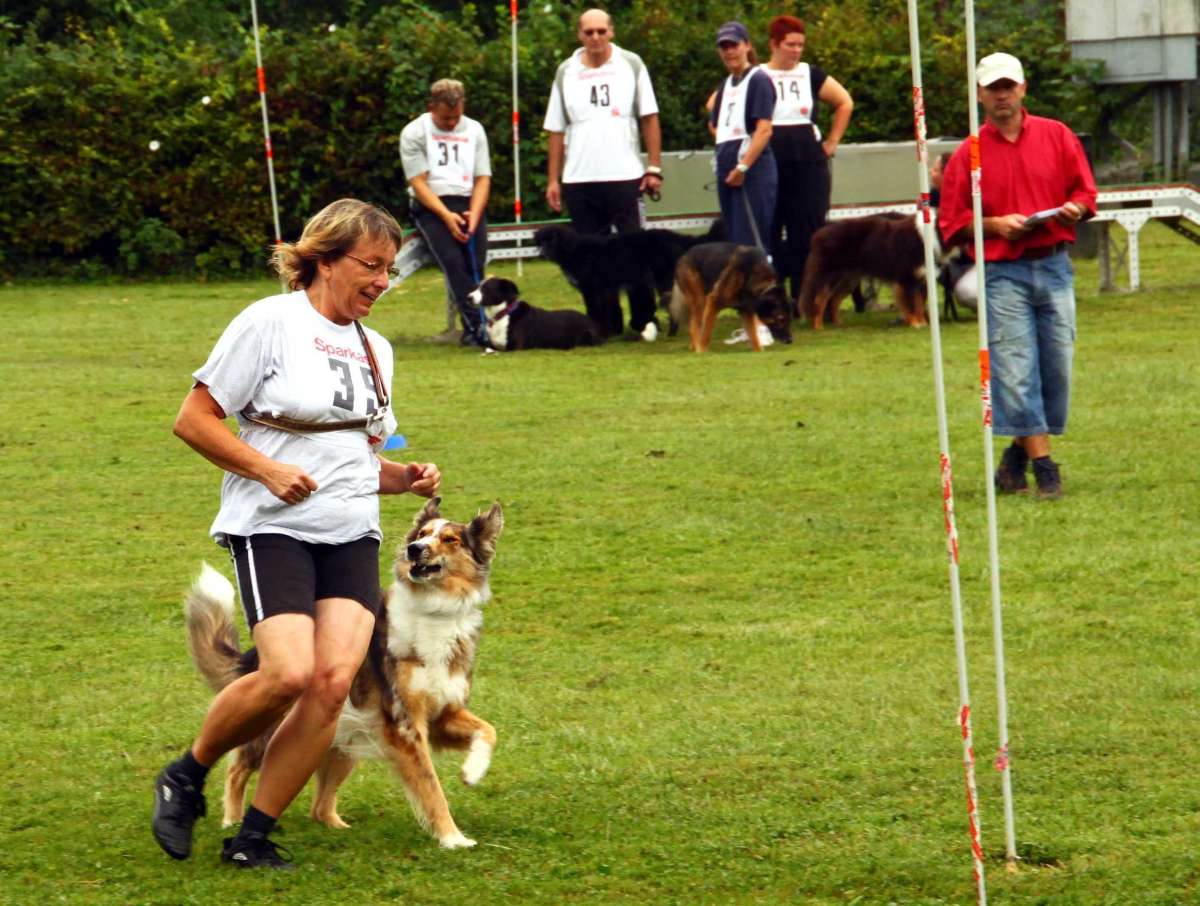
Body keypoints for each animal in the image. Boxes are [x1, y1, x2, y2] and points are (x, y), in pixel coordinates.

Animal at [184, 499, 504, 844]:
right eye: (422, 534)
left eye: (450, 539)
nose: (414, 549)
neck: (433, 610)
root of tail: (254, 656)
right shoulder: (405, 724)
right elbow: (432, 788)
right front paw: (452, 838)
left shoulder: (443, 713)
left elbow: (489, 731)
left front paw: (472, 771)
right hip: (275, 725)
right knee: (237, 767)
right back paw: (232, 819)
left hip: (344, 734)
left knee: (319, 807)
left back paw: (338, 828)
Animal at [468, 276, 600, 350]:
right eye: (476, 287)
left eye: (486, 288)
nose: (469, 297)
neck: (504, 313)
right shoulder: (492, 344)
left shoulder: (514, 347)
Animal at [667, 241, 796, 355]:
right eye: (780, 319)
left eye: (789, 319)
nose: (790, 341)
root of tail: (684, 256)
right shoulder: (713, 301)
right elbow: (706, 333)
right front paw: (702, 351)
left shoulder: (746, 312)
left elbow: (753, 336)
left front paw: (759, 351)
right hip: (700, 301)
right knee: (693, 327)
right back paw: (697, 347)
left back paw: (694, 347)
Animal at [801, 212, 931, 328]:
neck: (921, 235)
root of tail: (818, 234)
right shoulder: (905, 278)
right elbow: (911, 305)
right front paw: (915, 324)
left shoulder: (921, 277)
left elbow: (919, 304)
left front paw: (923, 324)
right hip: (831, 276)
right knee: (819, 300)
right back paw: (818, 327)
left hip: (849, 280)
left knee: (834, 300)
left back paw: (837, 323)